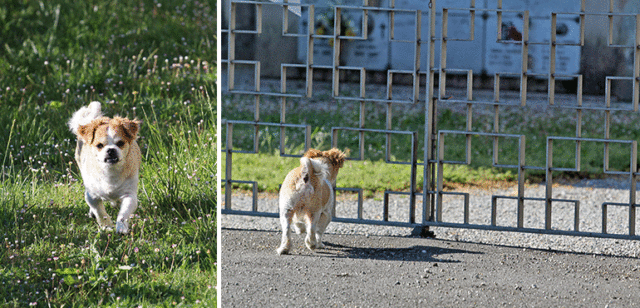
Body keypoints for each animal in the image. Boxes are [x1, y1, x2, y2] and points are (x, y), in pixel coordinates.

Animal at [68, 101, 142, 233]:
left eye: (120, 143)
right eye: (99, 145)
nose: (111, 150)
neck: (110, 171)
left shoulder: (130, 195)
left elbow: (124, 212)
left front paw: (121, 227)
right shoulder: (92, 196)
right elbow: (99, 212)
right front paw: (106, 225)